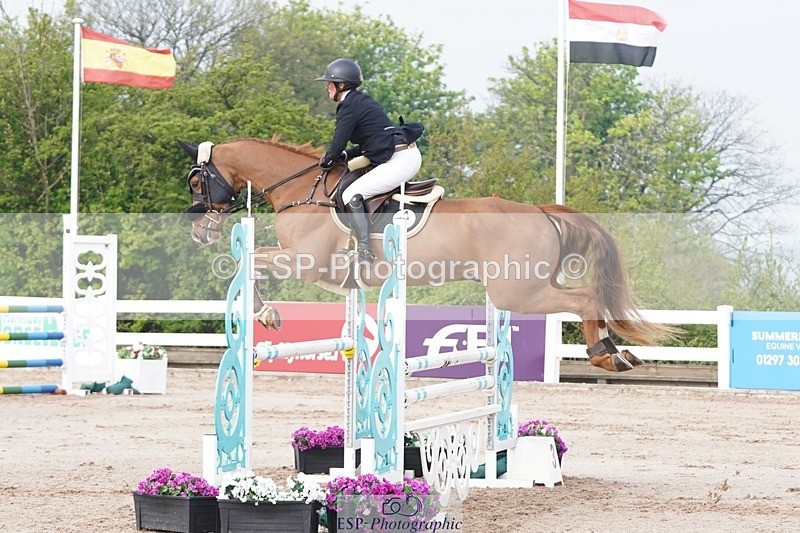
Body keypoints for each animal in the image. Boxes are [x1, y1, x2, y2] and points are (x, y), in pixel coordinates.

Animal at [179, 136, 675, 372]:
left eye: (197, 181)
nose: (200, 231)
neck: (304, 190)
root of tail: (539, 209)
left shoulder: (303, 260)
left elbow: (248, 261)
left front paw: (267, 315)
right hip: (531, 283)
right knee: (587, 297)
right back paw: (617, 353)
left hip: (520, 292)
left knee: (586, 298)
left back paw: (605, 354)